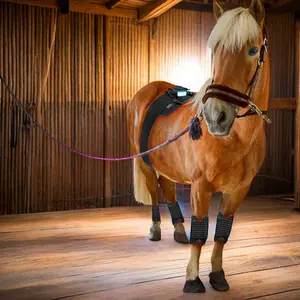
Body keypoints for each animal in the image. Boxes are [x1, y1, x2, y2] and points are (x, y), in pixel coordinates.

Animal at [126, 0, 270, 292]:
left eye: (252, 50)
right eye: (215, 50)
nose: (216, 116)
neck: (235, 139)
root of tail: (145, 91)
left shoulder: (238, 190)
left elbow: (222, 233)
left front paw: (217, 275)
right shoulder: (201, 187)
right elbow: (200, 233)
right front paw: (192, 279)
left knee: (168, 189)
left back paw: (179, 229)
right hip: (145, 163)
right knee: (155, 194)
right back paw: (156, 229)